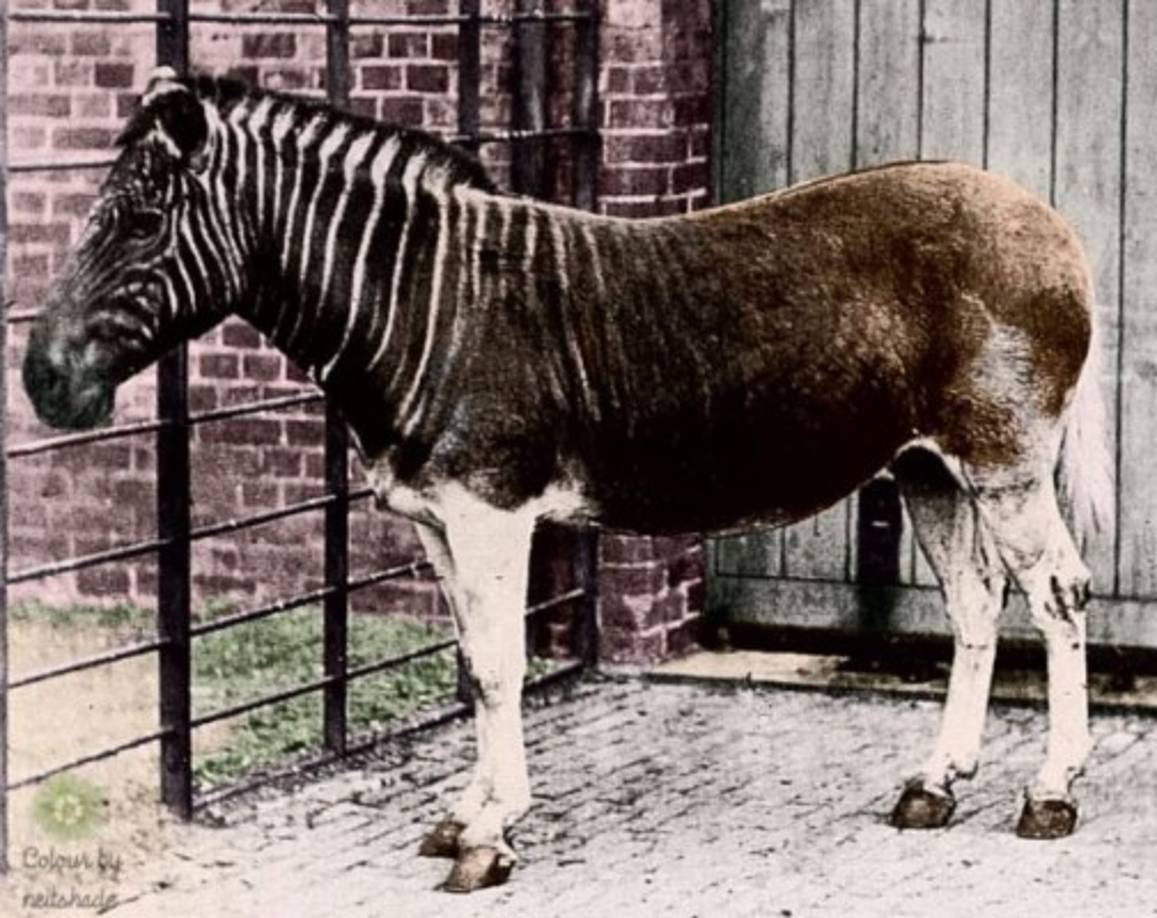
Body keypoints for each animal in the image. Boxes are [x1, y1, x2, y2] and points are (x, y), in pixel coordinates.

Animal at [24, 68, 1111, 893]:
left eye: (141, 223)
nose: (41, 380)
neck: (418, 304)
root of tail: (1047, 217)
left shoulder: (490, 511)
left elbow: (500, 669)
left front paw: (488, 838)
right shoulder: (435, 520)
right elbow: (472, 664)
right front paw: (465, 812)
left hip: (1004, 462)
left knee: (1057, 595)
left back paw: (1050, 794)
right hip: (929, 468)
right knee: (974, 606)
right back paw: (936, 783)